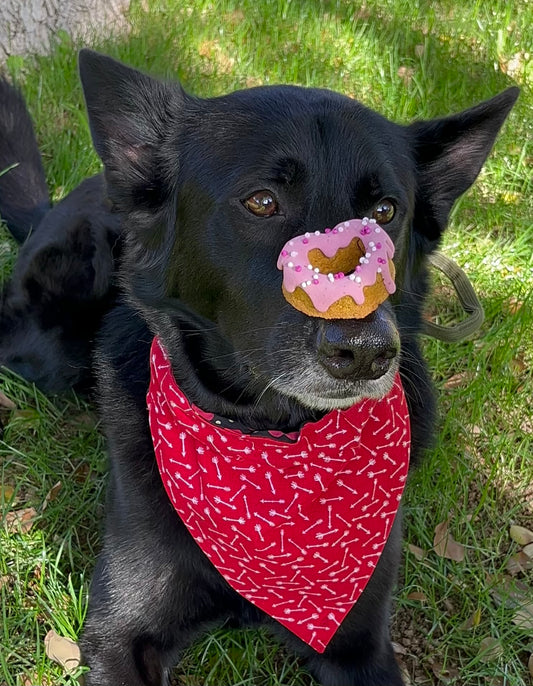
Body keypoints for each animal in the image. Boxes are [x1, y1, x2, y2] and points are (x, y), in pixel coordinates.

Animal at [2, 52, 516, 684]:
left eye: (385, 211)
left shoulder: (363, 647)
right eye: (263, 201)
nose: (366, 351)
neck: (270, 435)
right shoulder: (118, 635)